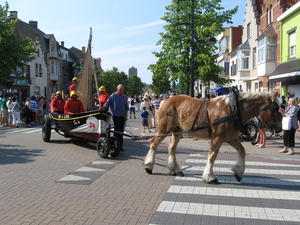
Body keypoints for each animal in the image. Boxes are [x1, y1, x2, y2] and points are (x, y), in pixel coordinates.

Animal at [144, 92, 282, 184]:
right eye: (275, 108)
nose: (280, 128)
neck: (233, 109)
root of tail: (165, 101)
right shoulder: (218, 137)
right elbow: (212, 155)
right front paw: (210, 177)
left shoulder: (230, 138)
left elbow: (242, 151)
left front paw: (238, 172)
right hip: (164, 130)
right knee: (154, 143)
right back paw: (149, 166)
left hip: (177, 131)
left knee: (172, 148)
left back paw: (175, 170)